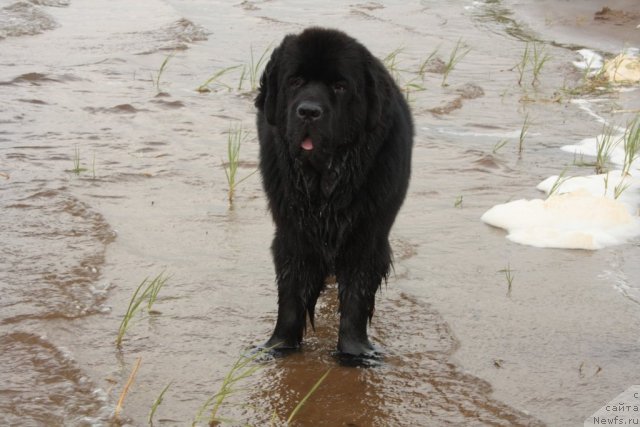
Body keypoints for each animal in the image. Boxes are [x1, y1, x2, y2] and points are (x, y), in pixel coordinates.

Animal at [255, 26, 416, 358]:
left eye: (340, 87)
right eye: (295, 81)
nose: (308, 111)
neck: (324, 184)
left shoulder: (367, 235)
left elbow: (357, 296)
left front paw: (354, 352)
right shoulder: (293, 232)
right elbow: (291, 293)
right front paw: (279, 345)